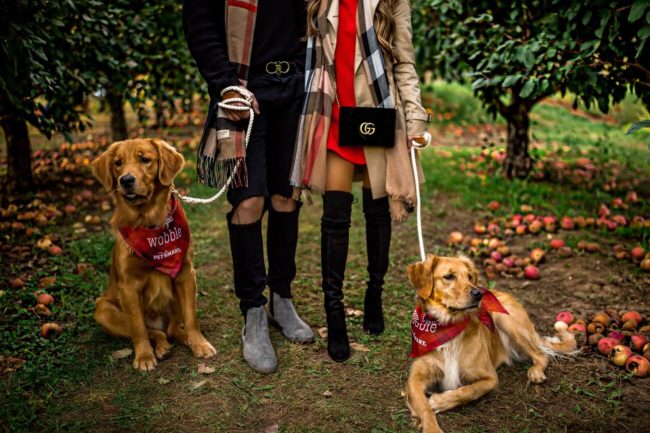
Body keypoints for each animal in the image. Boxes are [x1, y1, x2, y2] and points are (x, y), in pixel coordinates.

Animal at [90, 138, 215, 368]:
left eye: (145, 159)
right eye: (118, 163)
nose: (125, 180)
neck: (149, 221)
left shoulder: (186, 274)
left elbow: (191, 318)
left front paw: (199, 343)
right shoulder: (128, 286)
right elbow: (139, 329)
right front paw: (144, 356)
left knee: (172, 328)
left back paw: (183, 339)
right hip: (103, 309)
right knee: (153, 331)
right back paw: (161, 347)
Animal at [404, 255, 572, 430]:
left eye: (469, 276)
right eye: (449, 276)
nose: (478, 294)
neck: (447, 326)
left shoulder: (490, 378)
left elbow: (468, 390)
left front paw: (440, 400)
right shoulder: (414, 380)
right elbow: (424, 408)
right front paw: (429, 425)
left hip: (505, 319)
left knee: (540, 354)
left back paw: (536, 372)